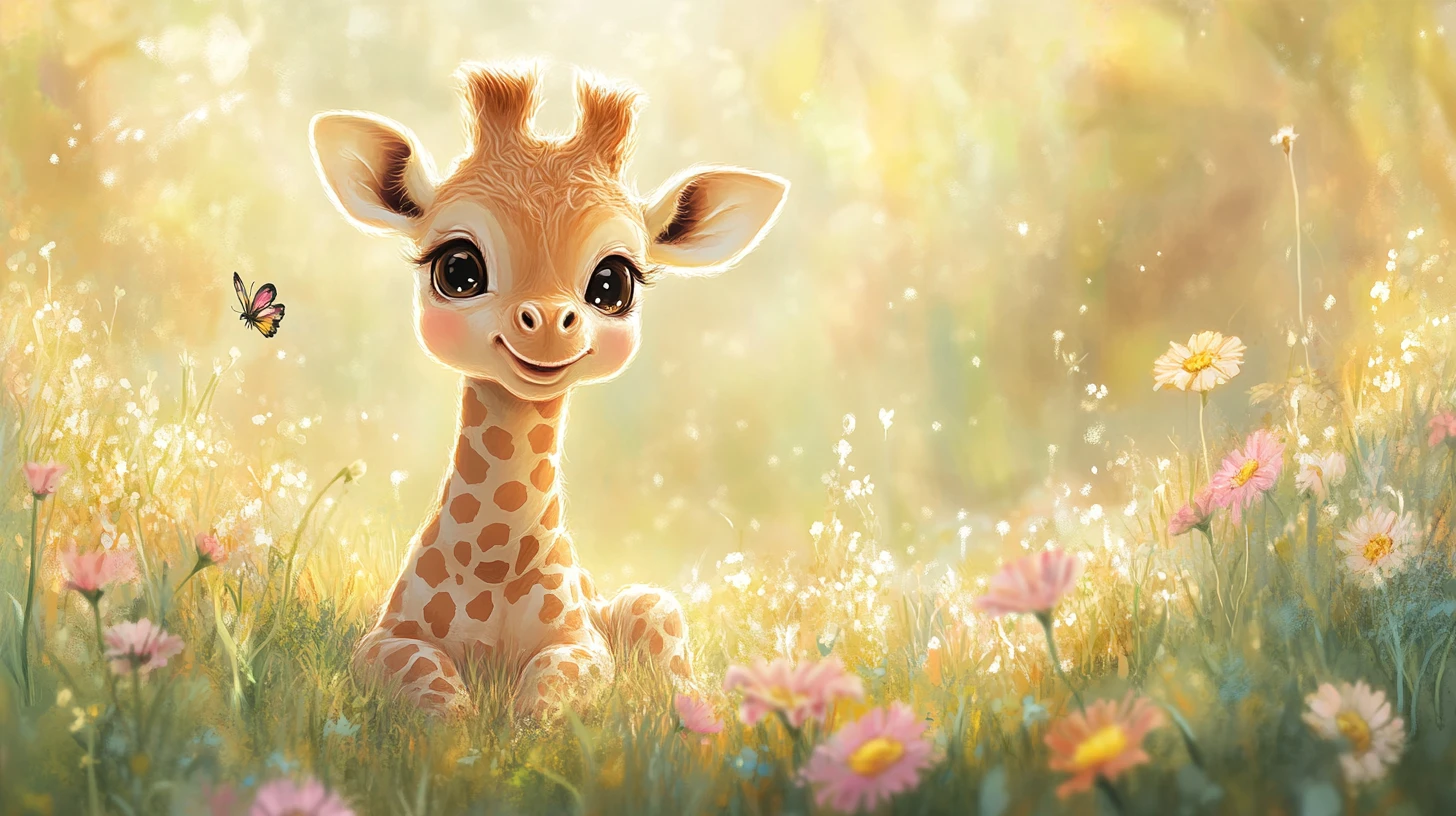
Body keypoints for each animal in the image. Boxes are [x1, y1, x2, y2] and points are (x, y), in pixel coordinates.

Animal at [308, 62, 788, 717]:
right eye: (458, 269)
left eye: (613, 283)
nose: (547, 323)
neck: (491, 563)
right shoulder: (382, 640)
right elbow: (440, 695)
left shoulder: (583, 645)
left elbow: (544, 699)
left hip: (652, 608)